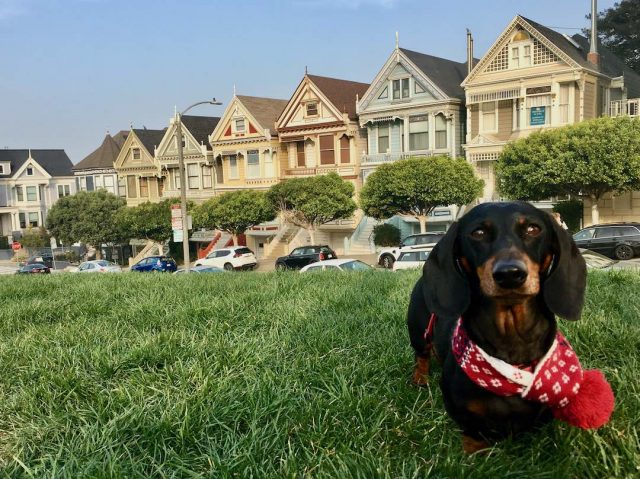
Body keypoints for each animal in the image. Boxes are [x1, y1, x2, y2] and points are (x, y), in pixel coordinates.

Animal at [408, 202, 588, 454]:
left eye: (533, 229)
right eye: (478, 233)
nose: (510, 274)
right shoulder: (462, 411)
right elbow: (473, 432)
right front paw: (475, 453)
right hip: (417, 331)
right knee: (421, 356)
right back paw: (420, 379)